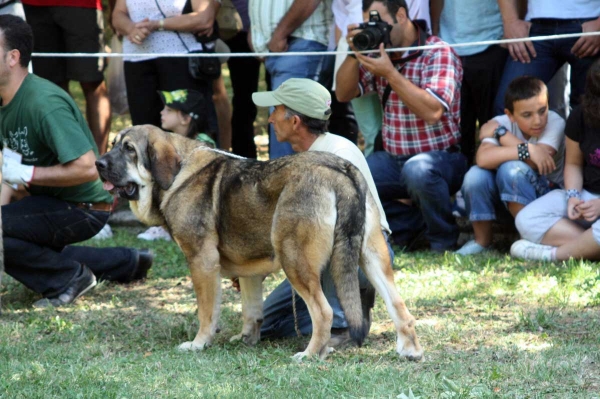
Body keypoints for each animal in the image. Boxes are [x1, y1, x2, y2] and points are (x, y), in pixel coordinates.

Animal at [95, 125, 422, 362]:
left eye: (129, 149)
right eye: (113, 144)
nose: (98, 163)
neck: (178, 173)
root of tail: (340, 169)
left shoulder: (202, 262)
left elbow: (206, 312)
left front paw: (199, 344)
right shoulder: (248, 273)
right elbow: (251, 311)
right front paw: (246, 340)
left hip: (295, 260)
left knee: (324, 312)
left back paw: (310, 355)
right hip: (372, 259)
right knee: (400, 309)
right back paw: (410, 351)